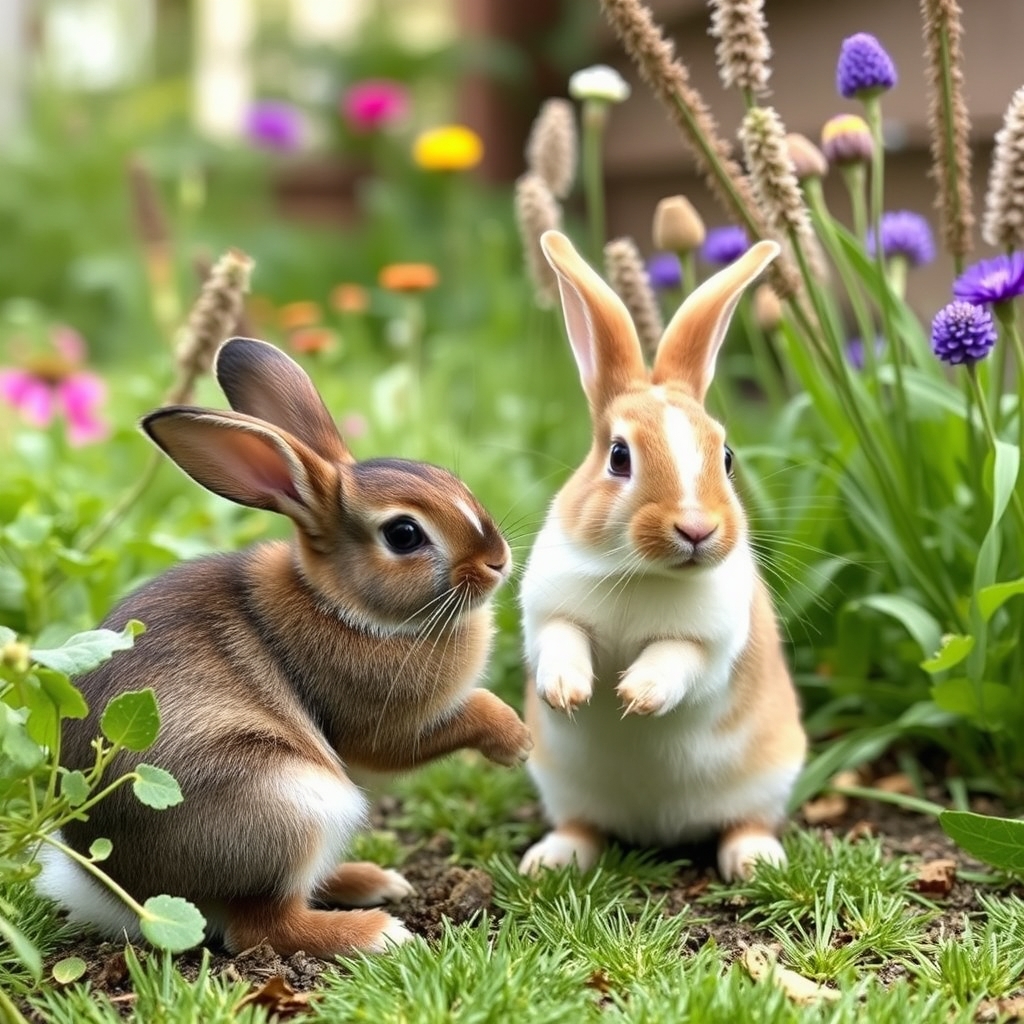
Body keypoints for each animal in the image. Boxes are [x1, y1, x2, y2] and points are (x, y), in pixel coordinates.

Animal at [36, 336, 531, 957]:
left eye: (448, 478)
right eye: (403, 535)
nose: (497, 562)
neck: (341, 605)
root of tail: (127, 895)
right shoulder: (385, 728)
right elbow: (459, 718)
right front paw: (517, 743)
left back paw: (375, 882)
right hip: (293, 803)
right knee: (262, 926)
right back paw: (378, 932)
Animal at [517, 231, 807, 882]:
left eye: (727, 457)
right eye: (619, 457)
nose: (697, 528)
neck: (640, 573)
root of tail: (659, 829)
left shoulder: (711, 645)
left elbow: (679, 661)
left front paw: (638, 696)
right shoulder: (548, 615)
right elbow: (561, 640)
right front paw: (568, 691)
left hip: (770, 776)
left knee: (745, 822)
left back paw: (756, 862)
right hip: (560, 784)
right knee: (584, 825)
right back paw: (549, 861)